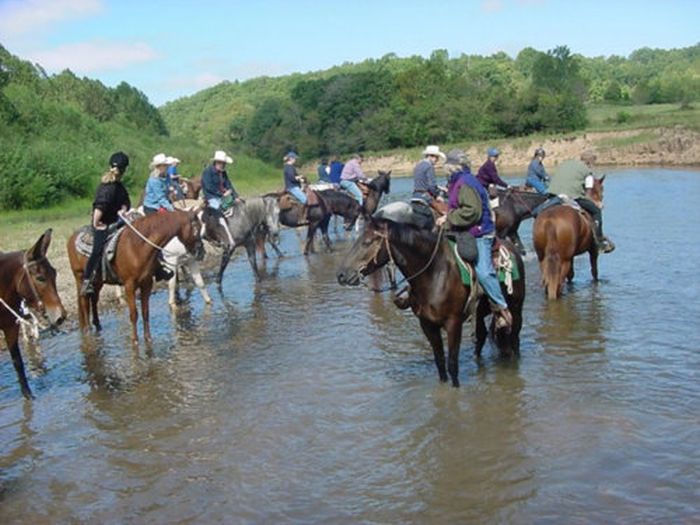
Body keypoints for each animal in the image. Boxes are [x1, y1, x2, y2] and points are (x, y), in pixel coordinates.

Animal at [0, 229, 66, 398]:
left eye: (55, 273)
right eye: (40, 278)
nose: (60, 316)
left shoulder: (10, 328)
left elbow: (18, 363)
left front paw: (28, 396)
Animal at [67, 211, 204, 342]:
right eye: (196, 227)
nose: (201, 252)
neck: (137, 246)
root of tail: (72, 237)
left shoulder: (147, 283)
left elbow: (145, 312)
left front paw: (148, 338)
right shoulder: (129, 286)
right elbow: (134, 314)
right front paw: (135, 340)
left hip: (97, 281)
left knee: (94, 300)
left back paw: (97, 325)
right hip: (80, 277)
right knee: (84, 301)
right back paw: (88, 329)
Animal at [334, 217, 524, 384]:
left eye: (367, 242)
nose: (341, 275)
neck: (434, 273)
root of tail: (511, 249)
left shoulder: (453, 323)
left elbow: (452, 364)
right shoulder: (427, 324)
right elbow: (440, 362)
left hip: (516, 308)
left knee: (514, 338)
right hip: (479, 312)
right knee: (482, 336)